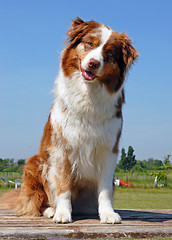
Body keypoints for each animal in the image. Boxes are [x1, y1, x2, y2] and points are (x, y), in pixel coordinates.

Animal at [12, 17, 139, 224]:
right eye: (89, 43)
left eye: (109, 53)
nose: (93, 63)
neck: (88, 94)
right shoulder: (62, 147)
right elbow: (64, 186)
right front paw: (63, 214)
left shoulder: (108, 149)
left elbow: (105, 189)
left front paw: (108, 214)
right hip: (34, 162)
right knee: (37, 201)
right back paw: (51, 210)